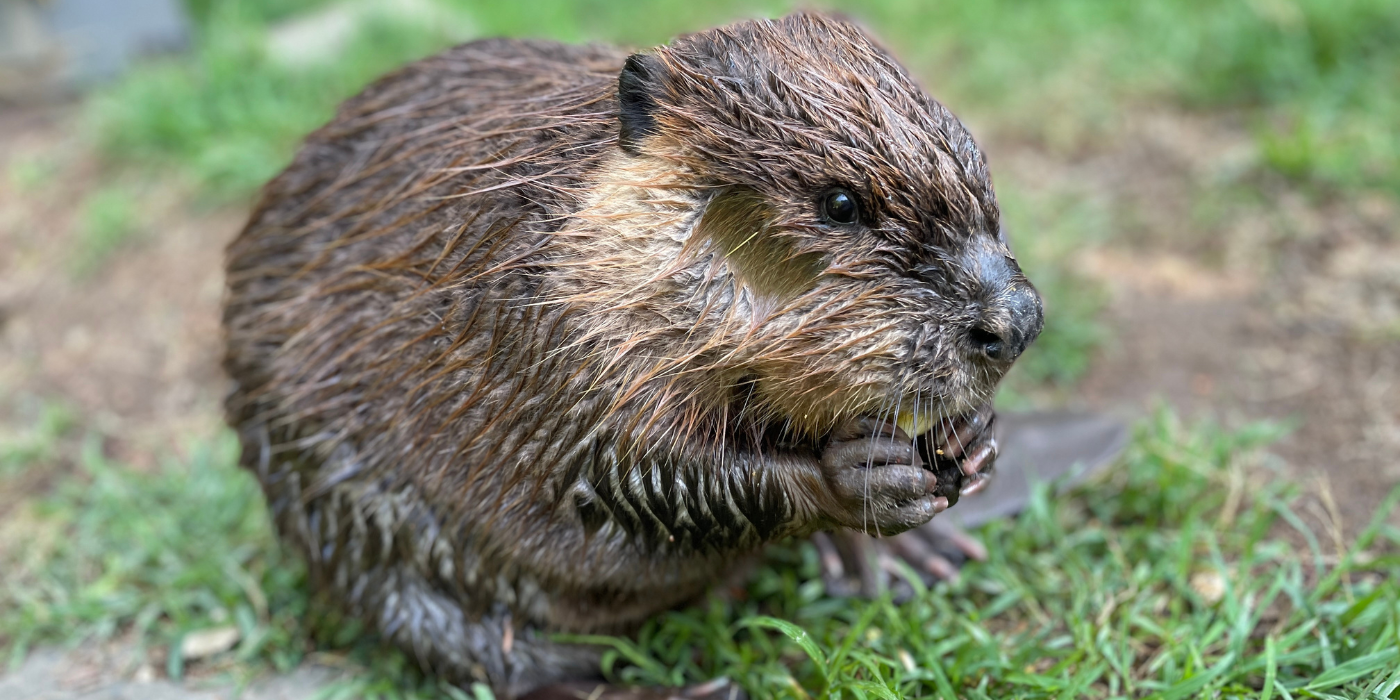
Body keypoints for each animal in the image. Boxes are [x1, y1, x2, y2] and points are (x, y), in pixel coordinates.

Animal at [226, 12, 1058, 700]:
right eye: (841, 204)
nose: (1015, 322)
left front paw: (970, 442)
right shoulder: (537, 326)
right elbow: (625, 473)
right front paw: (861, 475)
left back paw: (914, 561)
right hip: (348, 515)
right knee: (486, 657)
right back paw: (676, 686)